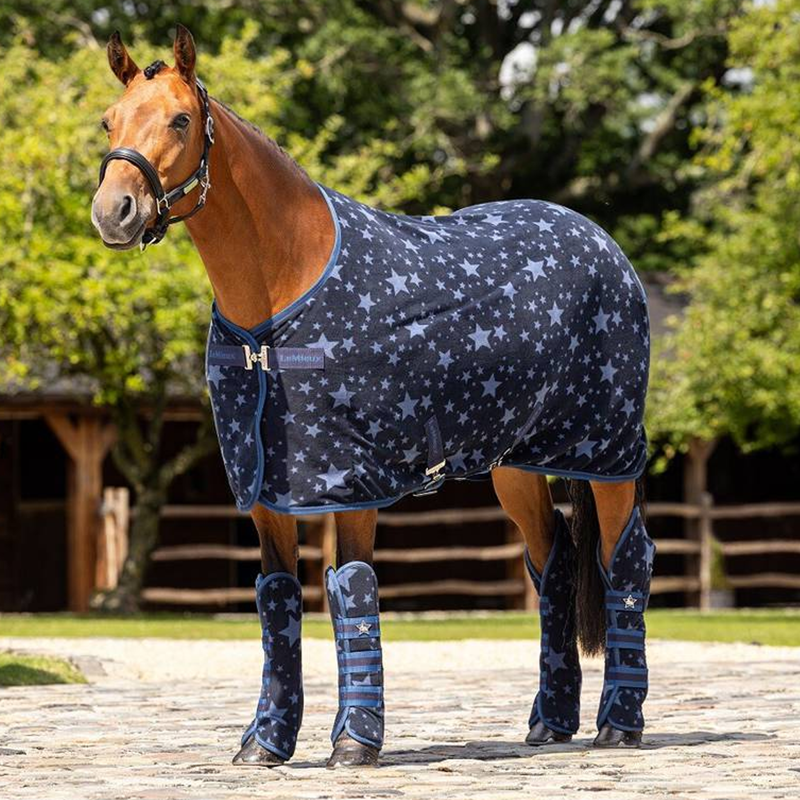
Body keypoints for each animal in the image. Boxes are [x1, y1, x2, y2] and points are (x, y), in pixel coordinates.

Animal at [91, 26, 655, 769]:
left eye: (181, 120)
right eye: (109, 122)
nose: (114, 213)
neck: (282, 294)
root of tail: (602, 244)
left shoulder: (349, 480)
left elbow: (351, 588)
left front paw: (354, 741)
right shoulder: (269, 485)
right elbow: (276, 600)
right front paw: (265, 743)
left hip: (606, 450)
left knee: (626, 559)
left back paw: (620, 723)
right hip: (517, 463)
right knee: (554, 565)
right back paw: (549, 724)